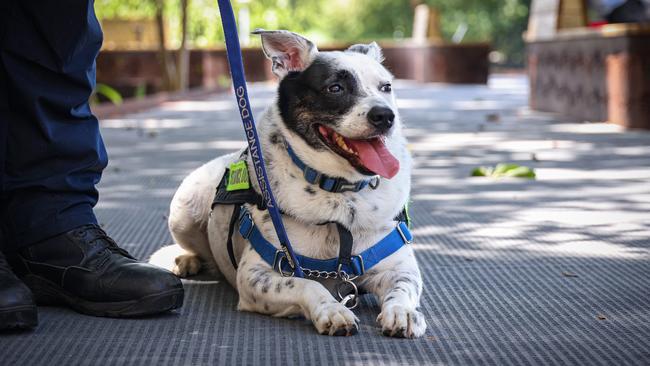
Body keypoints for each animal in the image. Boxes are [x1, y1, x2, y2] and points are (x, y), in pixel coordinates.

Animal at [151, 28, 426, 338]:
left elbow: (402, 289)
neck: (340, 195)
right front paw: (332, 310)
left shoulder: (400, 268)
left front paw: (403, 312)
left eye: (386, 87)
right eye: (335, 88)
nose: (385, 116)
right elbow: (308, 283)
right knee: (191, 245)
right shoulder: (256, 275)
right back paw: (186, 259)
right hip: (183, 212)